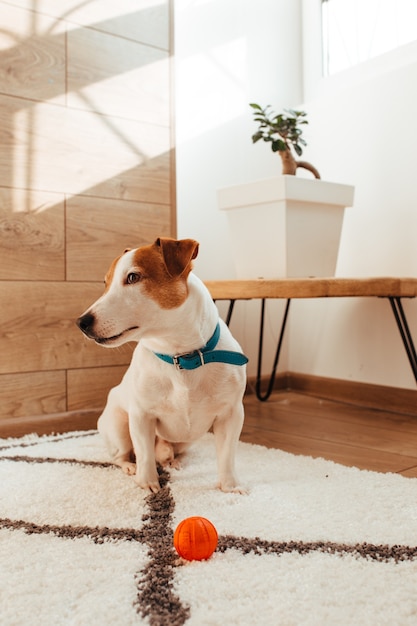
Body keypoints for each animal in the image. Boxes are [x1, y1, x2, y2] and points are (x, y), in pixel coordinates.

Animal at [77, 236, 247, 490]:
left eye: (133, 277)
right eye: (105, 283)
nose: (81, 322)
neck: (181, 356)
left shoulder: (231, 414)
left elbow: (227, 455)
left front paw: (230, 487)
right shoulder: (141, 416)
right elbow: (144, 454)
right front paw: (148, 483)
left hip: (188, 439)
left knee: (167, 452)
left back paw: (172, 460)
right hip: (118, 427)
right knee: (122, 455)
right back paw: (131, 466)